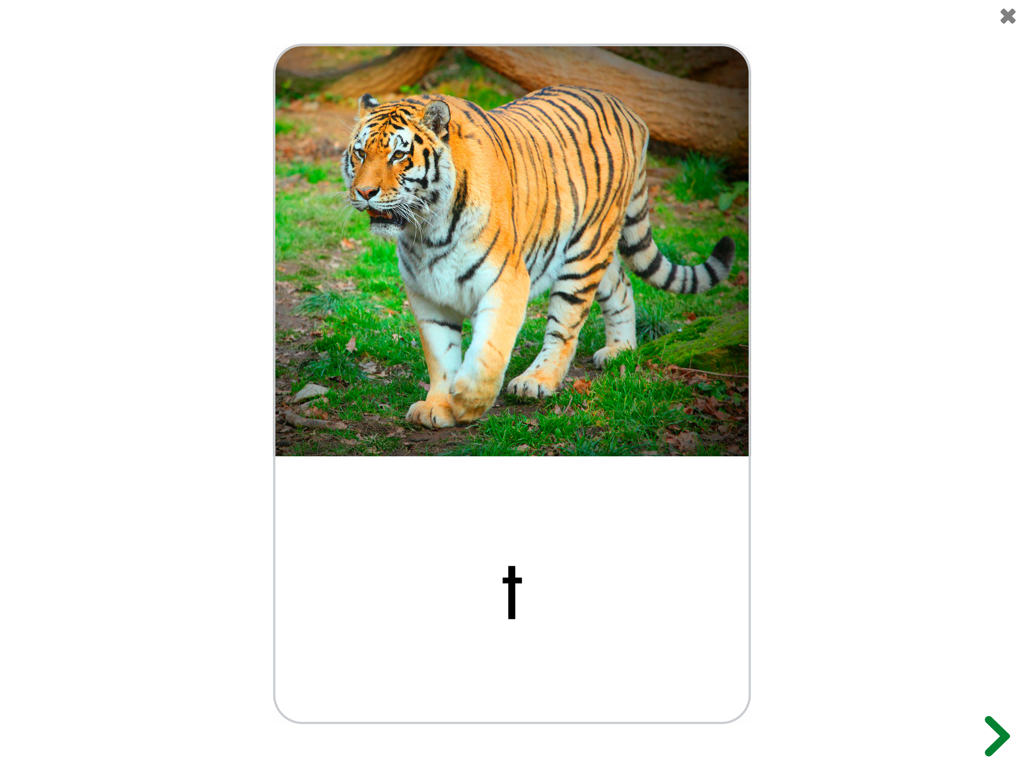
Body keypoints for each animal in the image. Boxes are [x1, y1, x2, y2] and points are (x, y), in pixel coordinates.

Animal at [341, 85, 735, 428]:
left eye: (398, 155)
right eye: (360, 153)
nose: (364, 192)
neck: (426, 232)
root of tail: (629, 111)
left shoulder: (506, 281)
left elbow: (488, 352)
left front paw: (468, 402)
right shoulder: (427, 295)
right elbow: (441, 356)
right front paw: (437, 406)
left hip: (583, 256)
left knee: (565, 330)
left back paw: (536, 381)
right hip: (595, 247)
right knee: (622, 285)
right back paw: (620, 350)